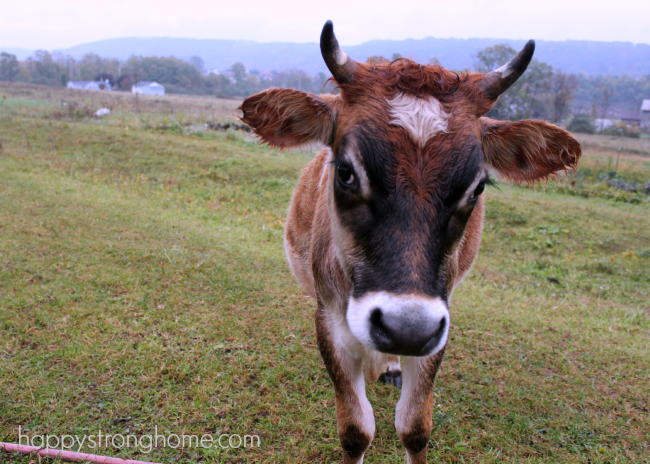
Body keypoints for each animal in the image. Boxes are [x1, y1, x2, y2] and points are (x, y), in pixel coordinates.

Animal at [240, 20, 580, 464]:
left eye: (478, 187)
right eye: (346, 171)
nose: (406, 328)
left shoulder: (438, 323)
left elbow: (415, 428)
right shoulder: (328, 320)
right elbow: (355, 430)